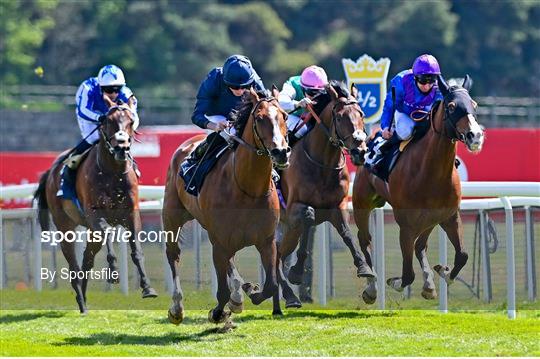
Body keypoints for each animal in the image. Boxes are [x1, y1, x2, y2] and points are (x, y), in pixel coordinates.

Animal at [34, 97, 156, 314]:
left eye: (131, 121)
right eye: (107, 120)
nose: (122, 148)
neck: (113, 172)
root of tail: (51, 171)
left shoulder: (131, 215)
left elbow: (136, 250)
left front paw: (147, 287)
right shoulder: (94, 214)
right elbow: (107, 232)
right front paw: (114, 272)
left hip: (90, 232)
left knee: (87, 259)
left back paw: (83, 297)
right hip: (65, 225)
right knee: (73, 263)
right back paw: (81, 301)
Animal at [162, 88, 292, 324]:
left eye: (285, 116)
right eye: (260, 118)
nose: (281, 152)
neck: (247, 189)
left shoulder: (266, 241)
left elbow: (270, 285)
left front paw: (251, 291)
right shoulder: (219, 241)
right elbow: (221, 290)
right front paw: (217, 313)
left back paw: (238, 296)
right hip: (172, 216)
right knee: (173, 254)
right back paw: (177, 308)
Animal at [274, 81, 376, 312]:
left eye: (361, 113)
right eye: (339, 117)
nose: (360, 151)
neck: (323, 164)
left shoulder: (337, 206)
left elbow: (347, 234)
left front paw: (363, 267)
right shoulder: (295, 207)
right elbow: (308, 218)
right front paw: (296, 271)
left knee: (278, 254)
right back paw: (288, 295)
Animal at [354, 75, 486, 304]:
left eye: (474, 105)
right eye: (452, 106)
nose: (475, 136)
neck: (431, 172)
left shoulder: (449, 216)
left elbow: (462, 255)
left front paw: (443, 273)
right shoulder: (406, 225)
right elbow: (407, 275)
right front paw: (394, 282)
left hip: (429, 219)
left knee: (420, 245)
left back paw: (429, 285)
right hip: (362, 202)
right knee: (365, 240)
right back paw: (371, 289)